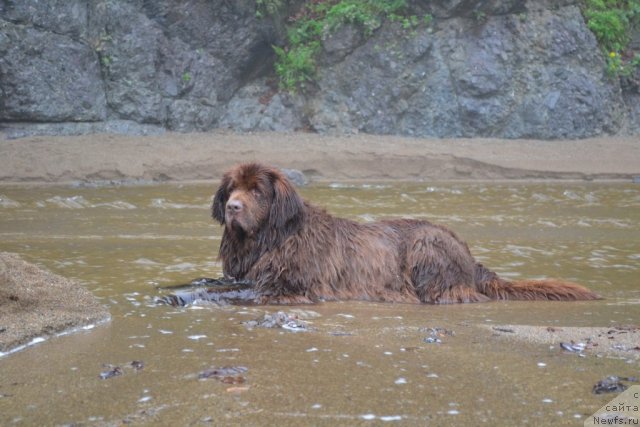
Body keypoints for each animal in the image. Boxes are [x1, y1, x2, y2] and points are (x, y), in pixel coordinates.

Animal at [212, 162, 596, 306]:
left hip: (427, 245)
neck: (269, 242)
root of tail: (471, 258)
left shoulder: (291, 284)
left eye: (257, 191)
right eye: (232, 189)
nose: (232, 206)